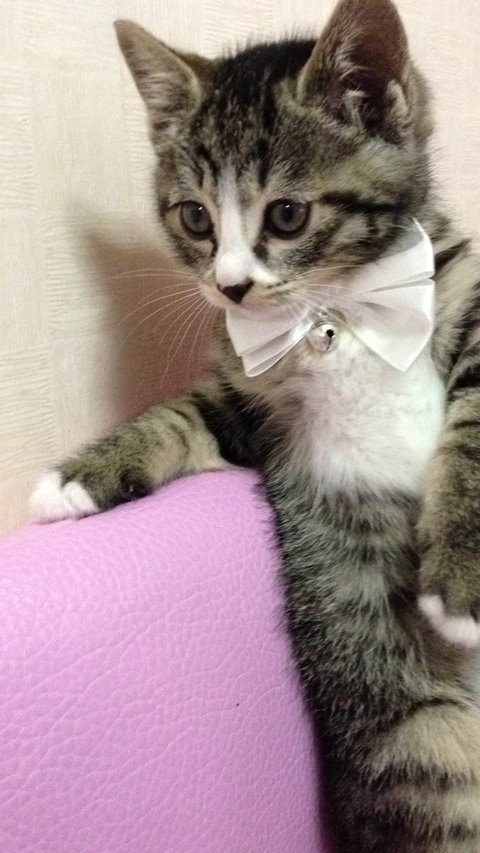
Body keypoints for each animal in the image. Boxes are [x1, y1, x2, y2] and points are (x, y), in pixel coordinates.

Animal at [31, 0, 480, 849]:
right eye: (195, 218)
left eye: (288, 213)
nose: (231, 286)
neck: (338, 309)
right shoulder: (250, 412)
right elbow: (179, 416)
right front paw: (78, 478)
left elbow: (472, 434)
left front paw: (459, 581)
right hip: (425, 743)